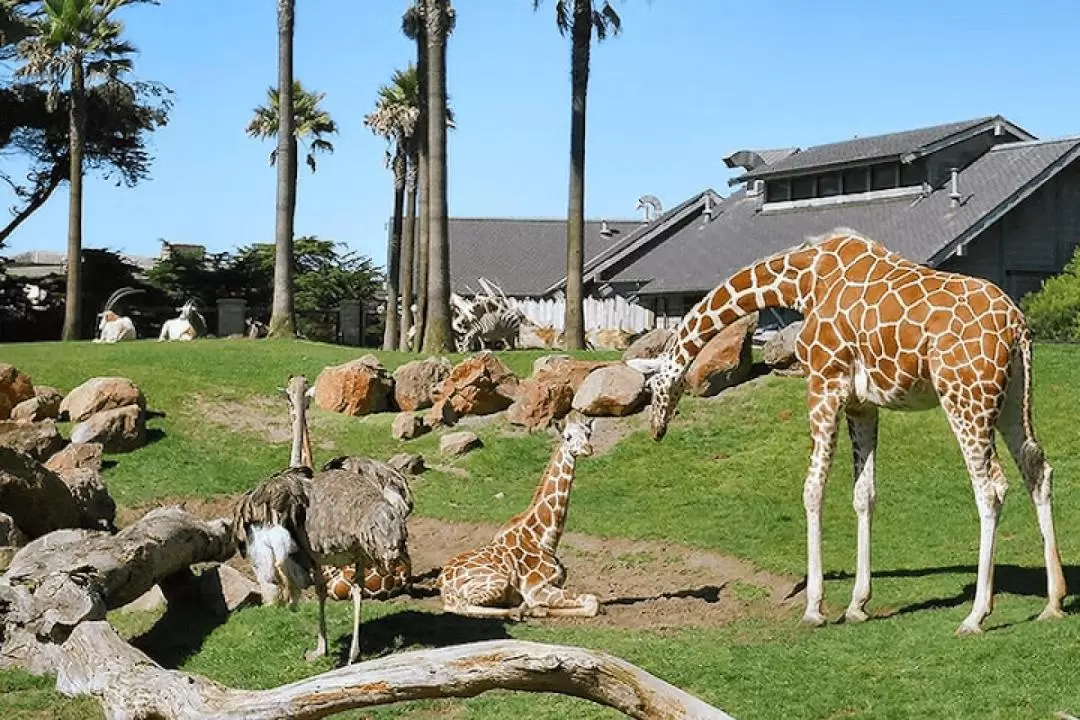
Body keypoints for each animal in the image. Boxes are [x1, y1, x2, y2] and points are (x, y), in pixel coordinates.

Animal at [436, 416, 600, 621]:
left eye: (588, 433)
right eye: (567, 436)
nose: (587, 449)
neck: (544, 539)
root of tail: (443, 586)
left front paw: (539, 609)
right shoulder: (536, 589)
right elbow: (592, 602)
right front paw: (538, 609)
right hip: (497, 581)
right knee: (463, 607)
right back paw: (520, 610)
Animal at [630, 226, 1067, 634]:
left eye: (651, 388)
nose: (655, 430)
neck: (804, 282)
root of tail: (1017, 325)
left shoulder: (823, 384)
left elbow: (813, 490)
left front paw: (814, 608)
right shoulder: (862, 403)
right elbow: (864, 494)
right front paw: (857, 604)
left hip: (965, 396)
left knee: (990, 487)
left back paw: (976, 615)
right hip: (1012, 396)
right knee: (1037, 468)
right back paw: (1053, 601)